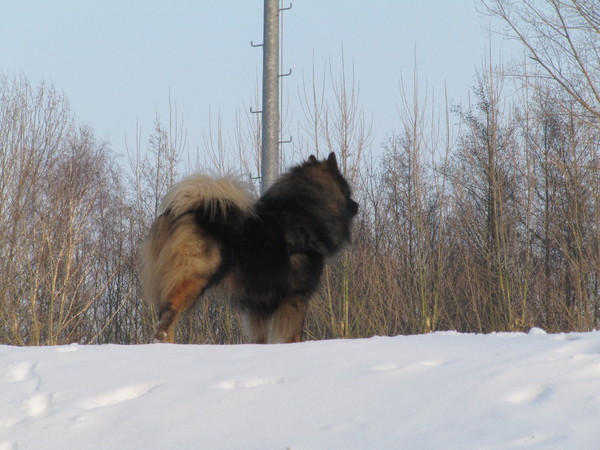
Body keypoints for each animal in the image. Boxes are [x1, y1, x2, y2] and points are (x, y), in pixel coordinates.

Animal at [140, 153, 356, 342]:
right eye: (347, 190)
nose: (356, 205)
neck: (304, 214)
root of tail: (185, 211)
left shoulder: (259, 304)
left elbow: (260, 337)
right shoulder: (295, 297)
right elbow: (293, 334)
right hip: (195, 277)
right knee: (168, 317)